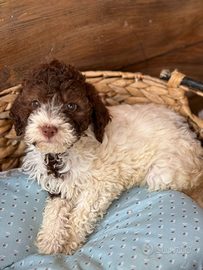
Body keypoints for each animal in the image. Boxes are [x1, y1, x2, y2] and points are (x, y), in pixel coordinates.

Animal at [9, 59, 203, 255]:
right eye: (35, 102)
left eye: (71, 105)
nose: (48, 129)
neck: (62, 152)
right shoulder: (58, 185)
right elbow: (55, 209)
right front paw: (50, 241)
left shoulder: (101, 184)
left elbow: (82, 213)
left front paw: (69, 243)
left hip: (166, 170)